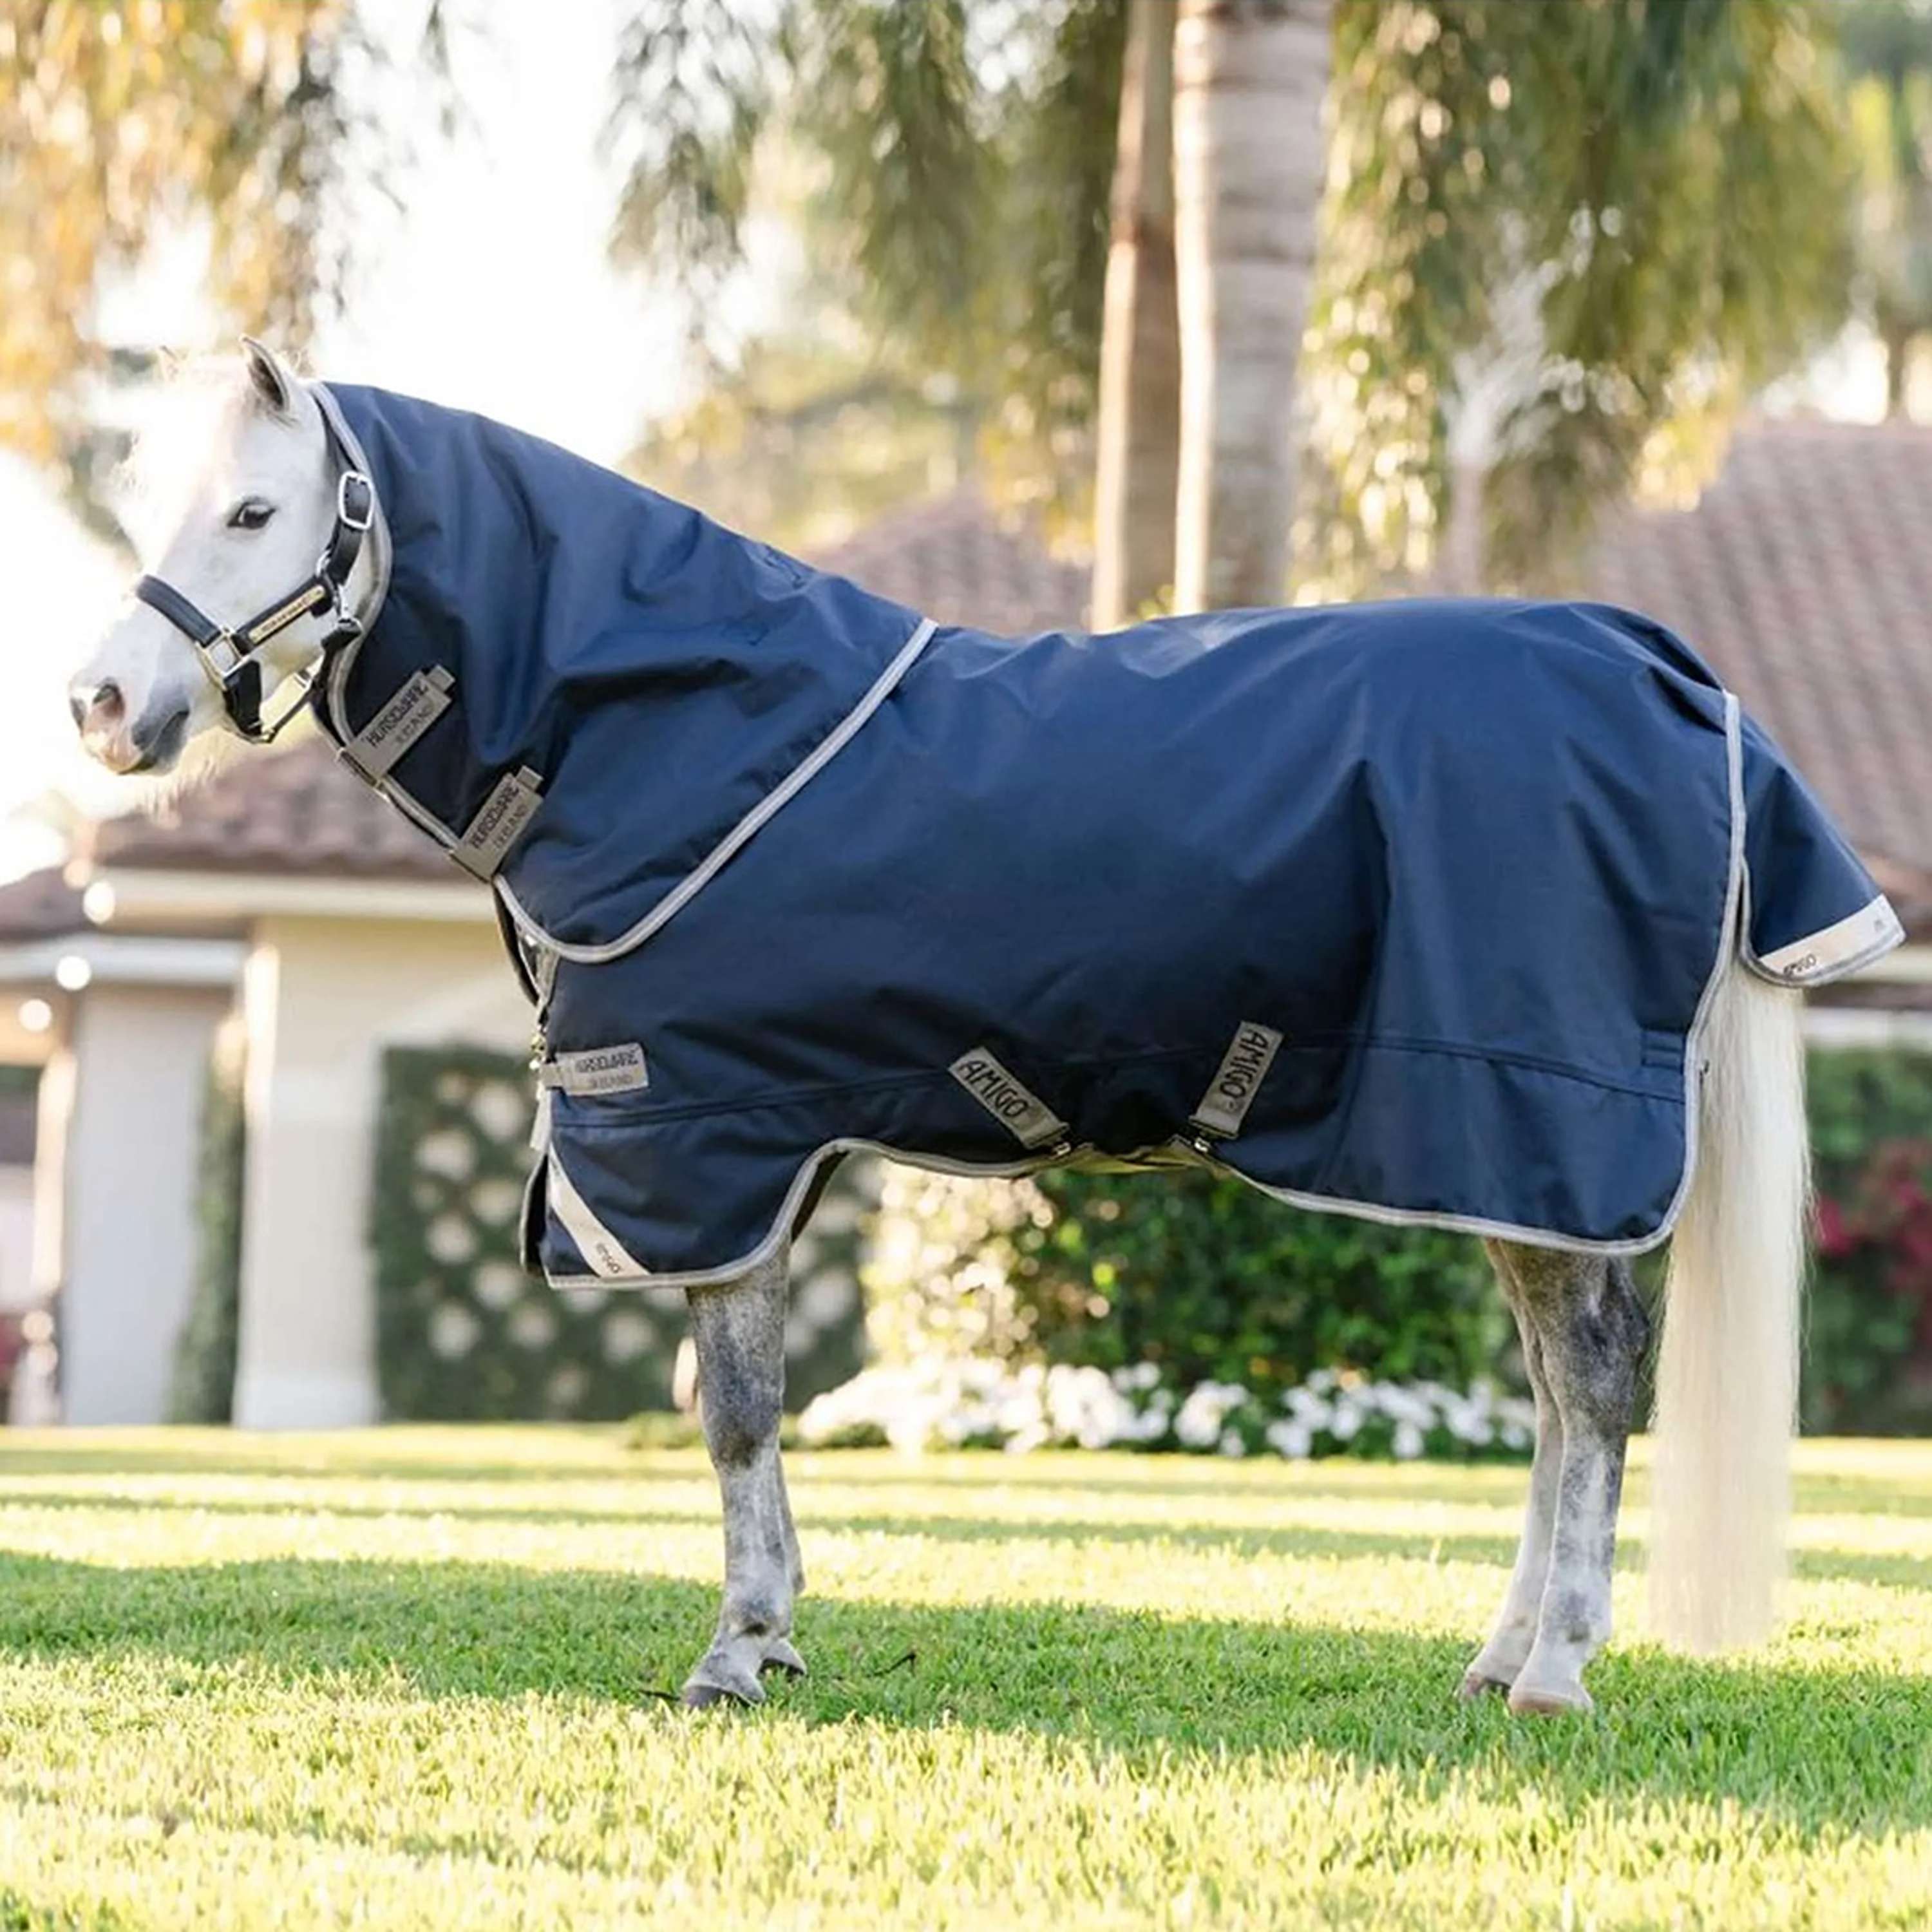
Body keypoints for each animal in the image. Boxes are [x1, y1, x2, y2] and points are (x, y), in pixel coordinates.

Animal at [69, 341, 1900, 1714]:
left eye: (255, 508)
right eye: (156, 500)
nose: (101, 707)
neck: (669, 733)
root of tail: (1676, 678)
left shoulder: (709, 1146)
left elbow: (731, 1413)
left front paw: (736, 1652)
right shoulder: (754, 1154)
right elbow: (744, 1410)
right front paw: (772, 1635)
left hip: (1532, 1127)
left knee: (1590, 1390)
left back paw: (1554, 1672)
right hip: (1503, 1160)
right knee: (1554, 1394)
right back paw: (1500, 1656)